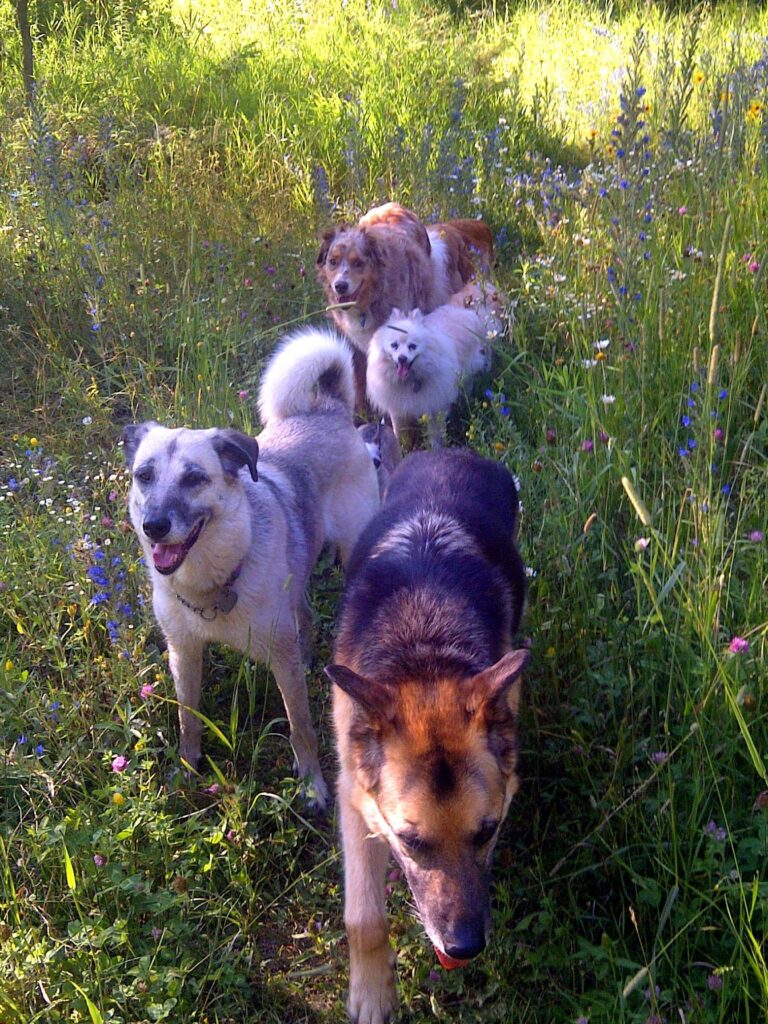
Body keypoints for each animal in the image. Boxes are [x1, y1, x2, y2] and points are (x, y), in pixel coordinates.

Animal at [120, 327, 382, 806]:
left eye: (193, 478)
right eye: (144, 475)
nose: (154, 526)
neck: (212, 582)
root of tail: (329, 409)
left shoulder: (281, 659)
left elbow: (301, 728)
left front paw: (312, 785)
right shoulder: (184, 653)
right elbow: (189, 720)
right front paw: (187, 769)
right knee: (304, 615)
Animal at [325, 450, 528, 1024]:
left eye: (487, 831)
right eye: (411, 842)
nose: (463, 947)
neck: (424, 650)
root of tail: (450, 452)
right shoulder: (354, 800)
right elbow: (364, 918)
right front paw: (373, 993)